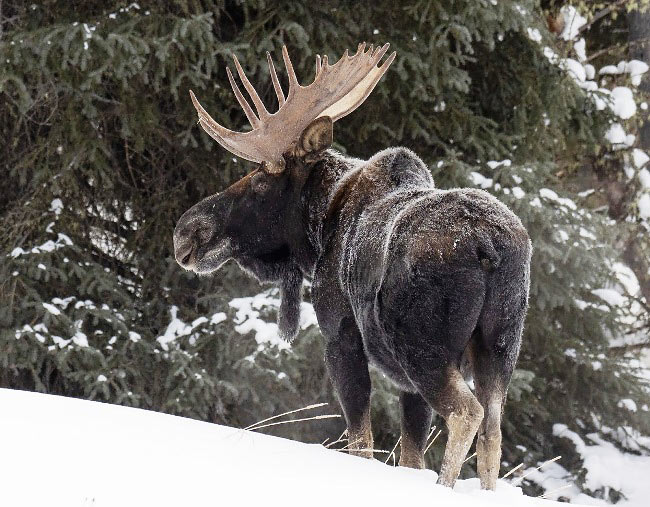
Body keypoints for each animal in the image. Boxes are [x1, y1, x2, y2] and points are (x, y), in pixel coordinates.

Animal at [173, 43, 531, 489]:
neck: (320, 229)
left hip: (423, 348)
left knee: (467, 413)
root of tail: (490, 247)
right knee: (492, 434)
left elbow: (360, 441)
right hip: (500, 347)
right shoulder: (405, 383)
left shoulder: (341, 336)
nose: (186, 232)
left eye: (259, 182)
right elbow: (411, 453)